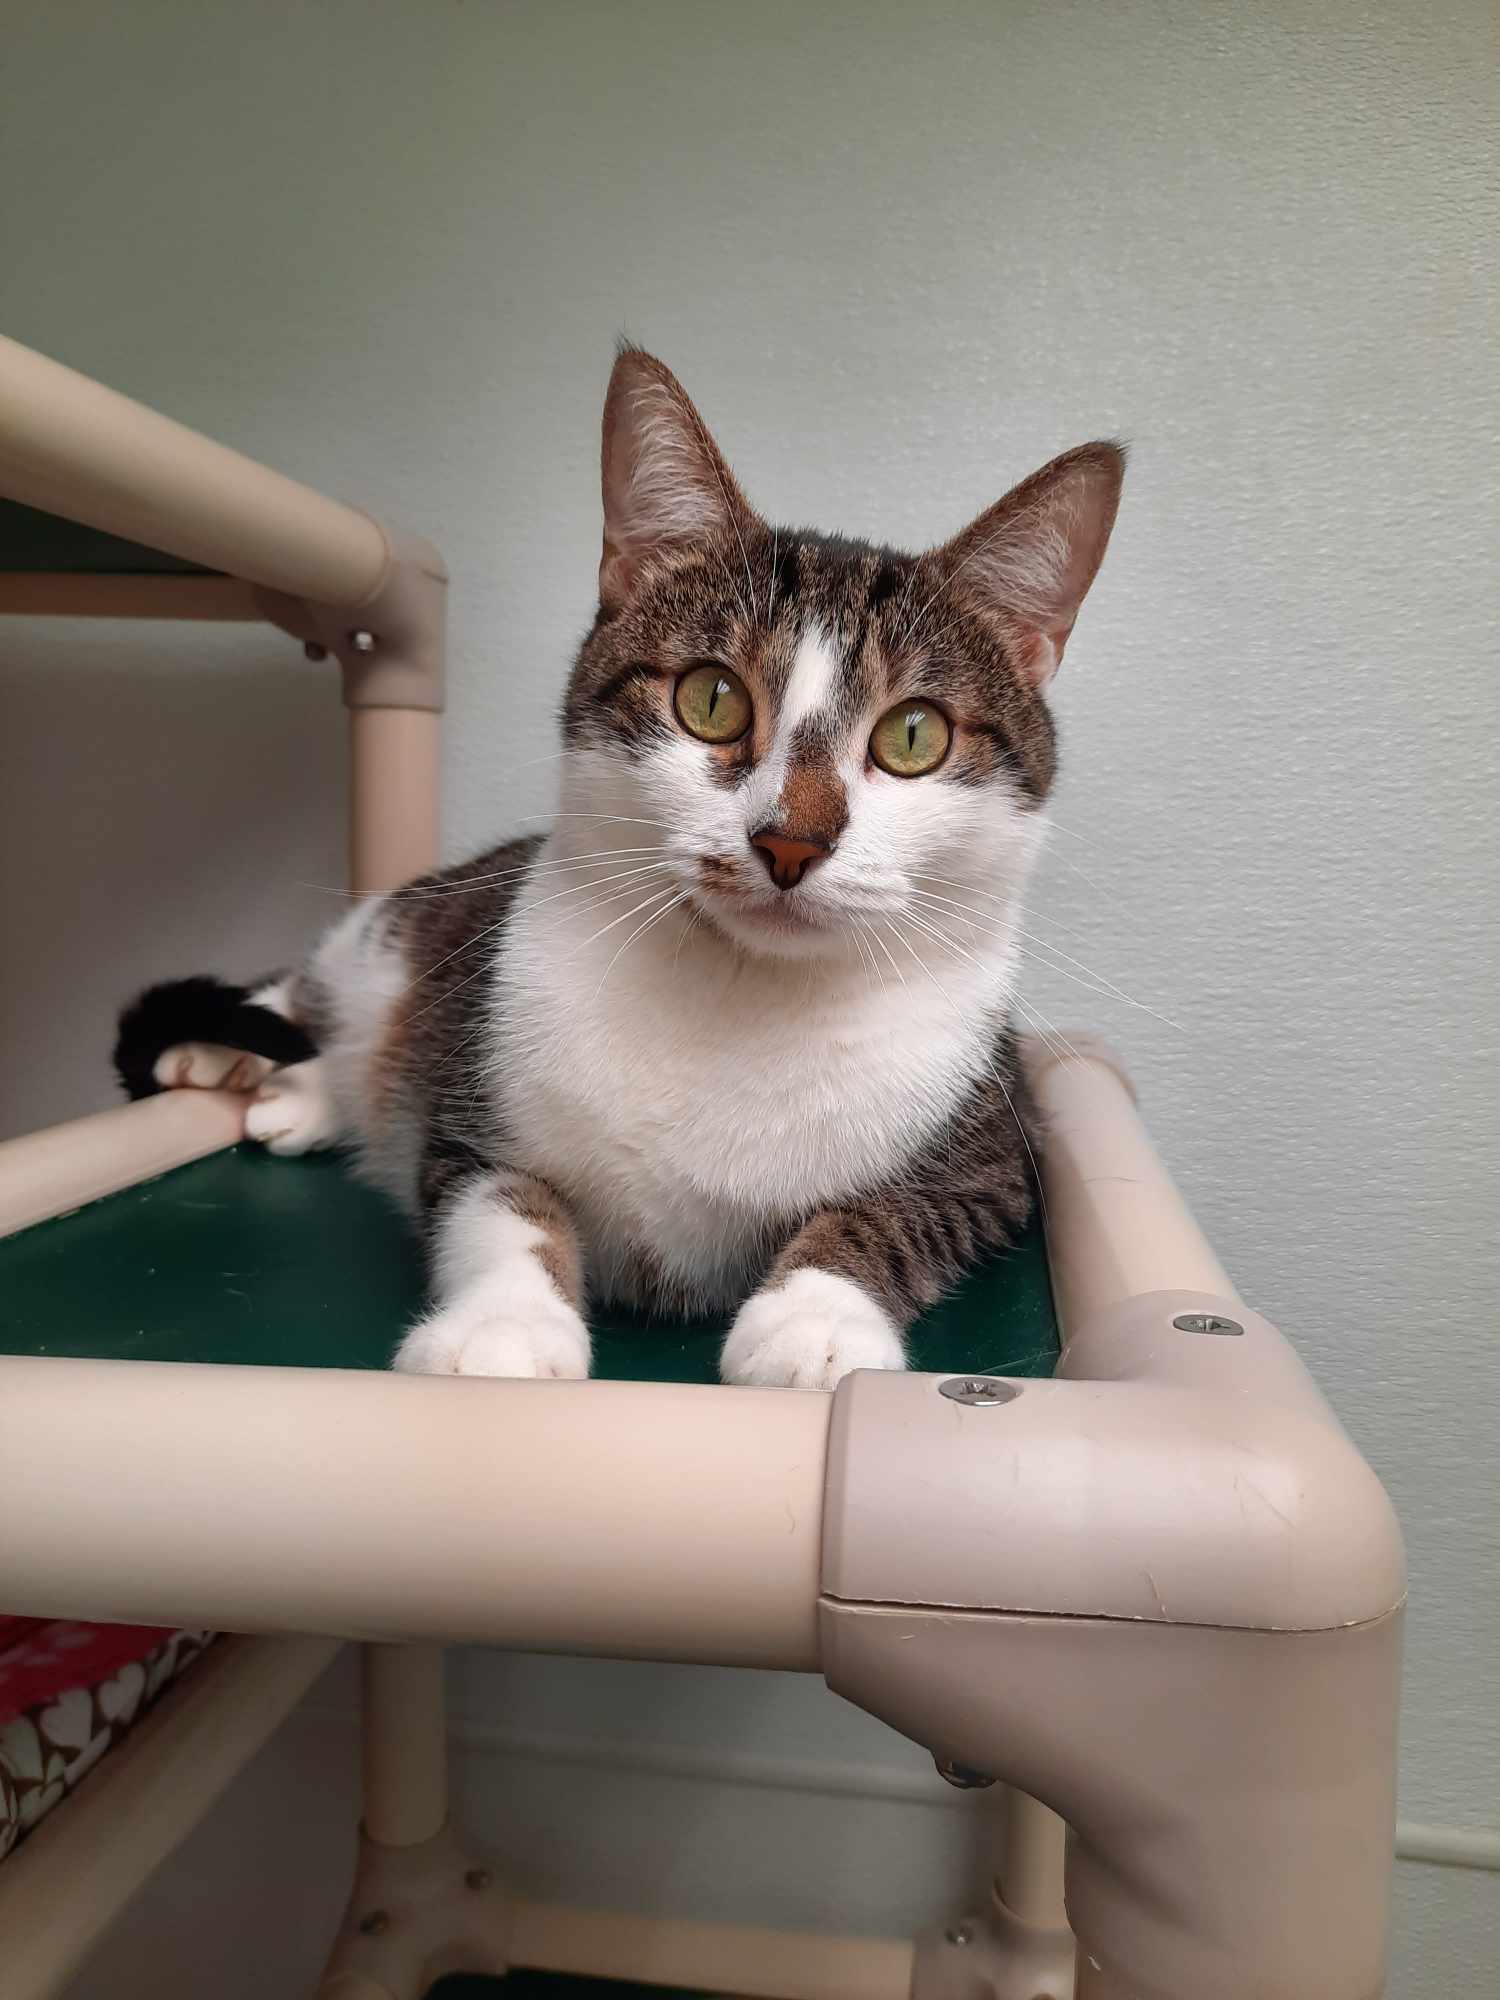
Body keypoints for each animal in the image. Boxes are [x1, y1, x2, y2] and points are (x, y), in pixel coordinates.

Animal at [117, 352, 1120, 1384]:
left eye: (913, 736)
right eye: (711, 699)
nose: (790, 840)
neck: (741, 993)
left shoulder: (997, 1156)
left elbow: (891, 1216)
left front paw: (814, 1321)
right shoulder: (471, 1112)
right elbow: (503, 1209)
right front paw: (505, 1327)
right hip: (403, 941)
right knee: (322, 984)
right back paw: (239, 1052)